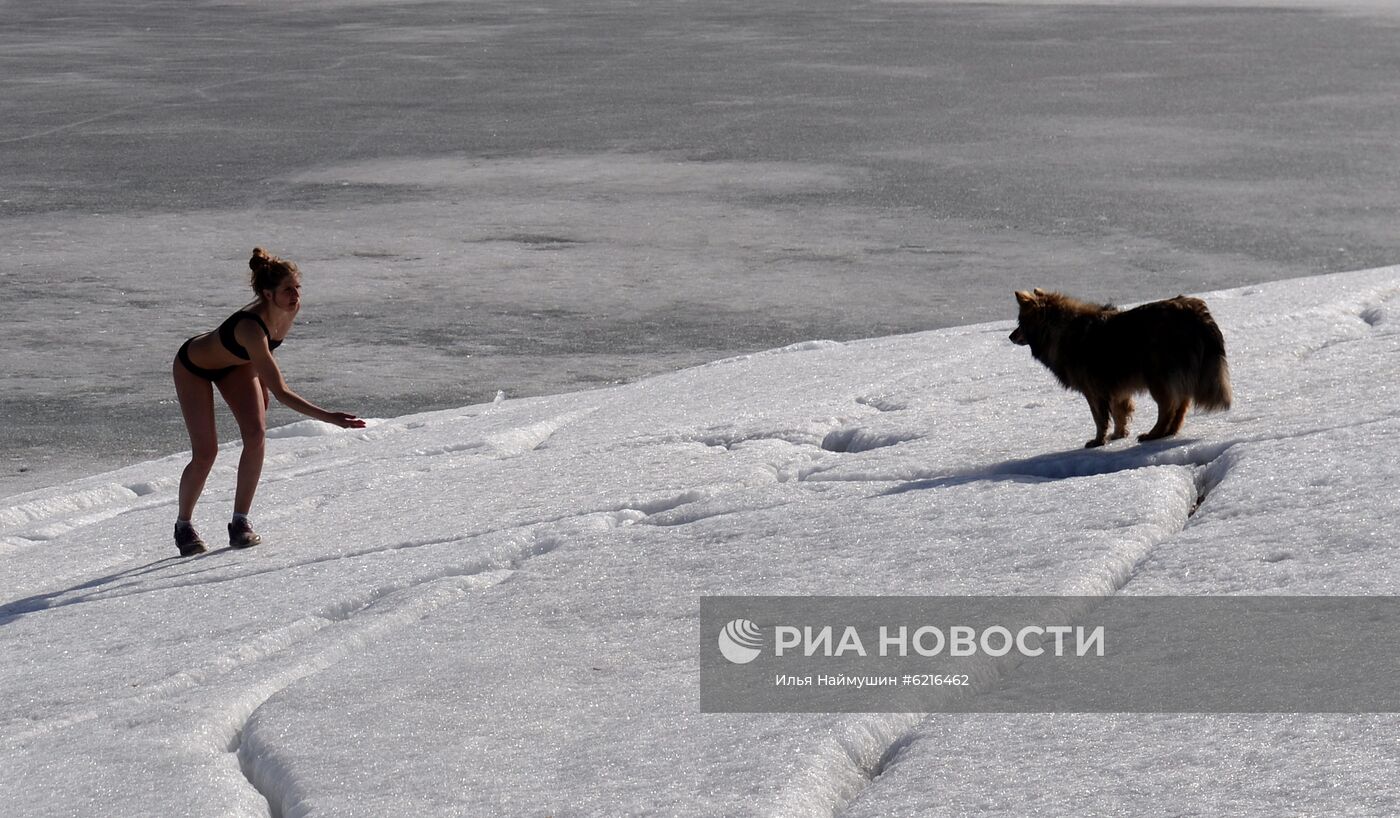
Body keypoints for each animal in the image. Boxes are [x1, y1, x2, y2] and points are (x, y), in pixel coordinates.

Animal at [1013, 288, 1232, 448]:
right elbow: (1120, 414)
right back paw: (1169, 432)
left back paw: (1154, 434)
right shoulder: (1116, 390)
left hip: (1157, 377)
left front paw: (1098, 441)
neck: (1060, 329)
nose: (1010, 336)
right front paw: (1118, 435)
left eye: (1020, 322)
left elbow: (1099, 419)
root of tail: (1197, 312)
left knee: (1168, 407)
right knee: (1181, 405)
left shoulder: (1093, 391)